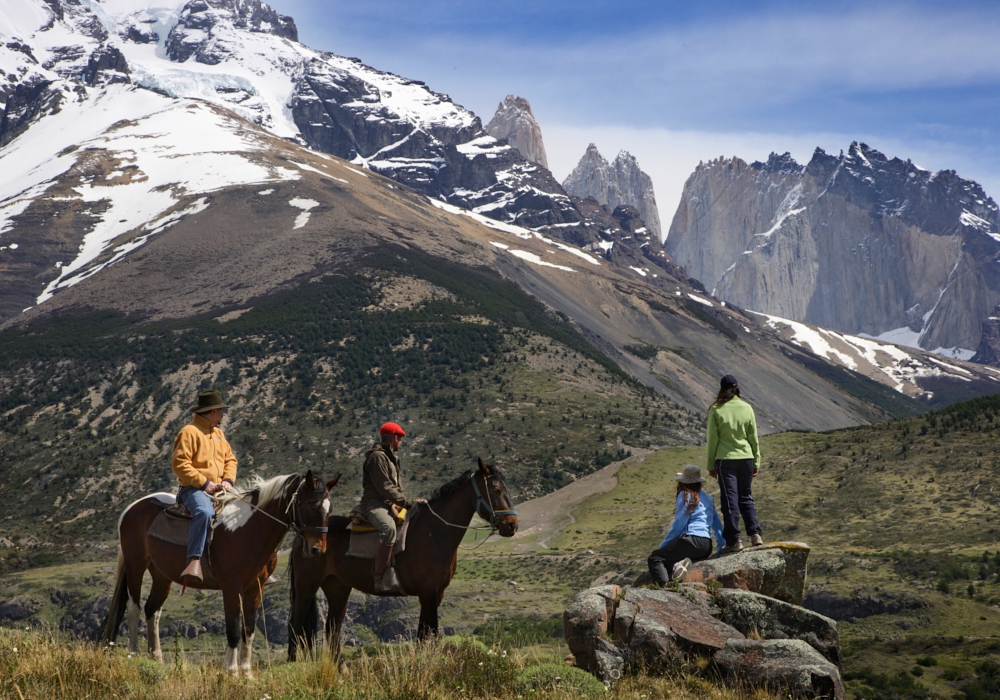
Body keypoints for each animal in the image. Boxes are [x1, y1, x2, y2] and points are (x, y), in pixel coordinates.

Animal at [99, 468, 338, 676]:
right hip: (135, 565)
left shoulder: (256, 589)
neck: (249, 531)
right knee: (134, 608)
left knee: (152, 610)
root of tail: (132, 508)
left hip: (161, 575)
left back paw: (156, 658)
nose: (317, 550)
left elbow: (248, 630)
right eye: (310, 505)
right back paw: (133, 654)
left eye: (329, 509)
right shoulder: (231, 588)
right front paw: (231, 671)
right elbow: (233, 630)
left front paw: (247, 672)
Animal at [288, 456, 516, 660]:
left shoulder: (435, 594)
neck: (435, 531)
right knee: (295, 625)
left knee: (332, 630)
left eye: (507, 489)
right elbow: (430, 633)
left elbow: (423, 635)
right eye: (496, 490)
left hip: (338, 588)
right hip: (306, 587)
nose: (512, 525)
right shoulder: (428, 592)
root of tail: (304, 534)